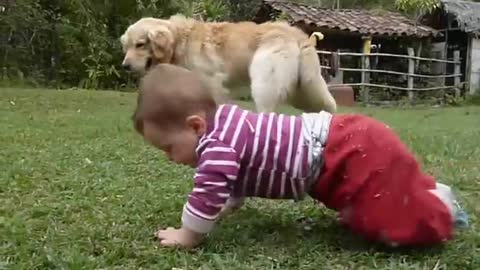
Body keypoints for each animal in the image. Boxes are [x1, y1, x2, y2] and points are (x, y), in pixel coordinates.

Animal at [120, 15, 338, 112]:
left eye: (140, 44)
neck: (180, 40)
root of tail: (297, 34)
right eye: (126, 47)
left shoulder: (212, 84)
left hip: (264, 84)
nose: (124, 66)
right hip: (305, 90)